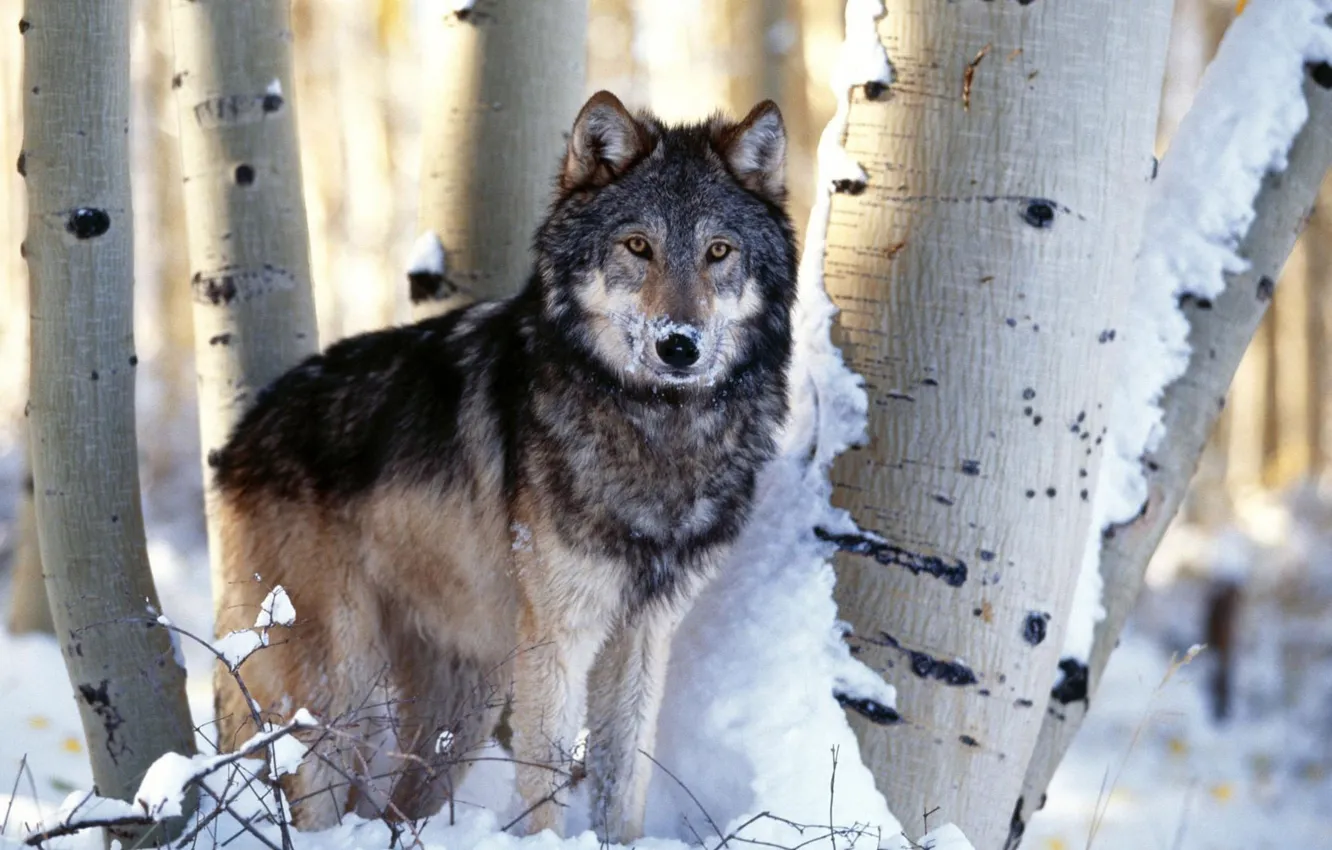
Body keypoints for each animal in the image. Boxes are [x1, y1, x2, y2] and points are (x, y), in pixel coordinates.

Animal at [211, 90, 796, 842]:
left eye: (718, 252)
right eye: (638, 245)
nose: (679, 345)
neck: (658, 430)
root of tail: (239, 439)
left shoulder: (643, 636)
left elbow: (622, 786)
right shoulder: (558, 639)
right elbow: (544, 791)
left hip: (464, 705)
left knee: (393, 810)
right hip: (340, 689)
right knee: (315, 801)